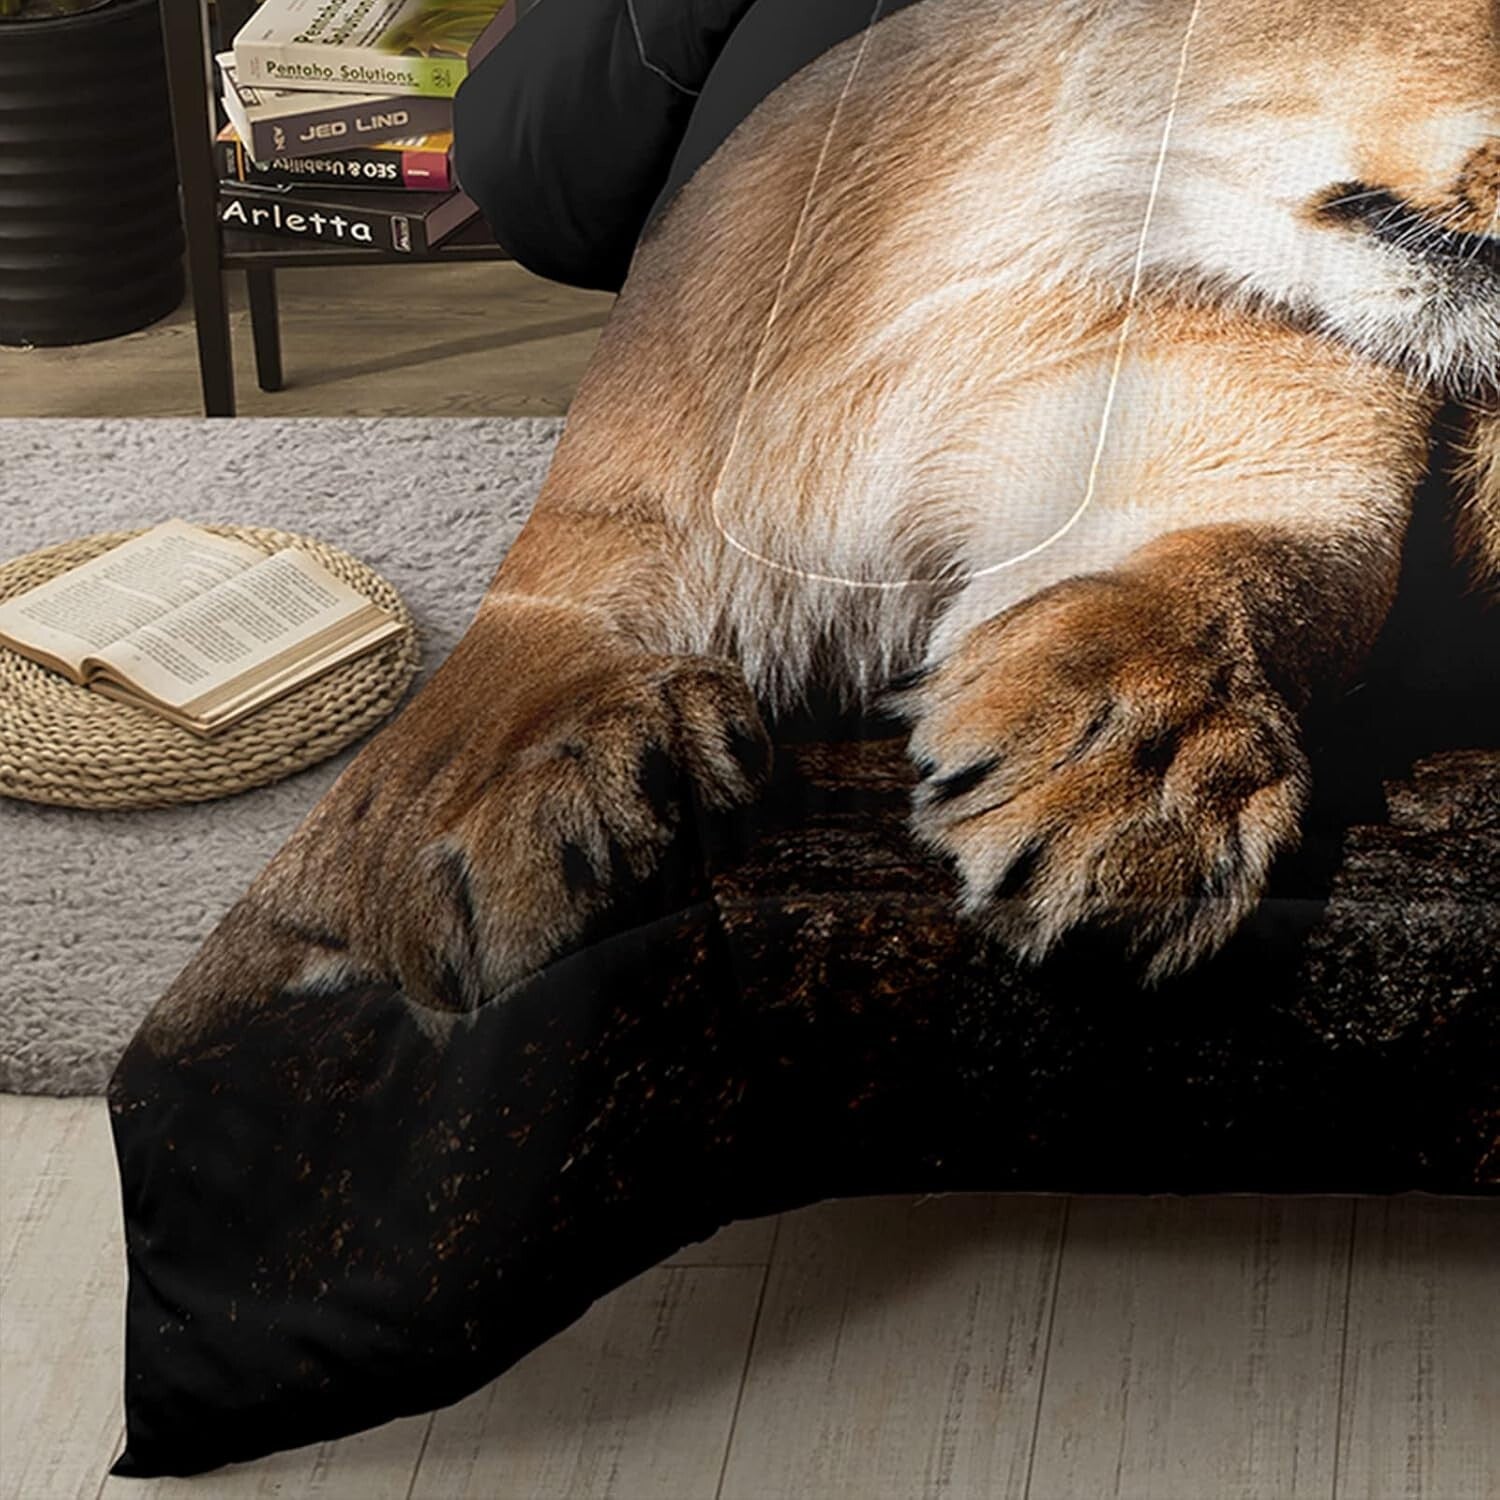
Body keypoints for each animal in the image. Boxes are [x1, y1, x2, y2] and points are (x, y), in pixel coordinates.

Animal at [144, 0, 1499, 1044]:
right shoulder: (623, 518)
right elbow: (500, 664)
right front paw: (490, 802)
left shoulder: (1251, 455)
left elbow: (1231, 577)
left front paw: (1138, 775)